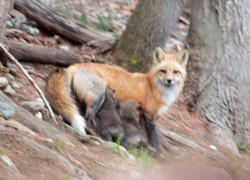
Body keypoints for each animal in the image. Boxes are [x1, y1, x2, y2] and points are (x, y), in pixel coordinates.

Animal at [46, 47, 188, 136]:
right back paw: (95, 133)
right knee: (88, 117)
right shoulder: (149, 116)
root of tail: (74, 66)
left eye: (176, 72)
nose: (169, 80)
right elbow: (153, 139)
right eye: (163, 71)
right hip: (99, 97)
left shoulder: (152, 116)